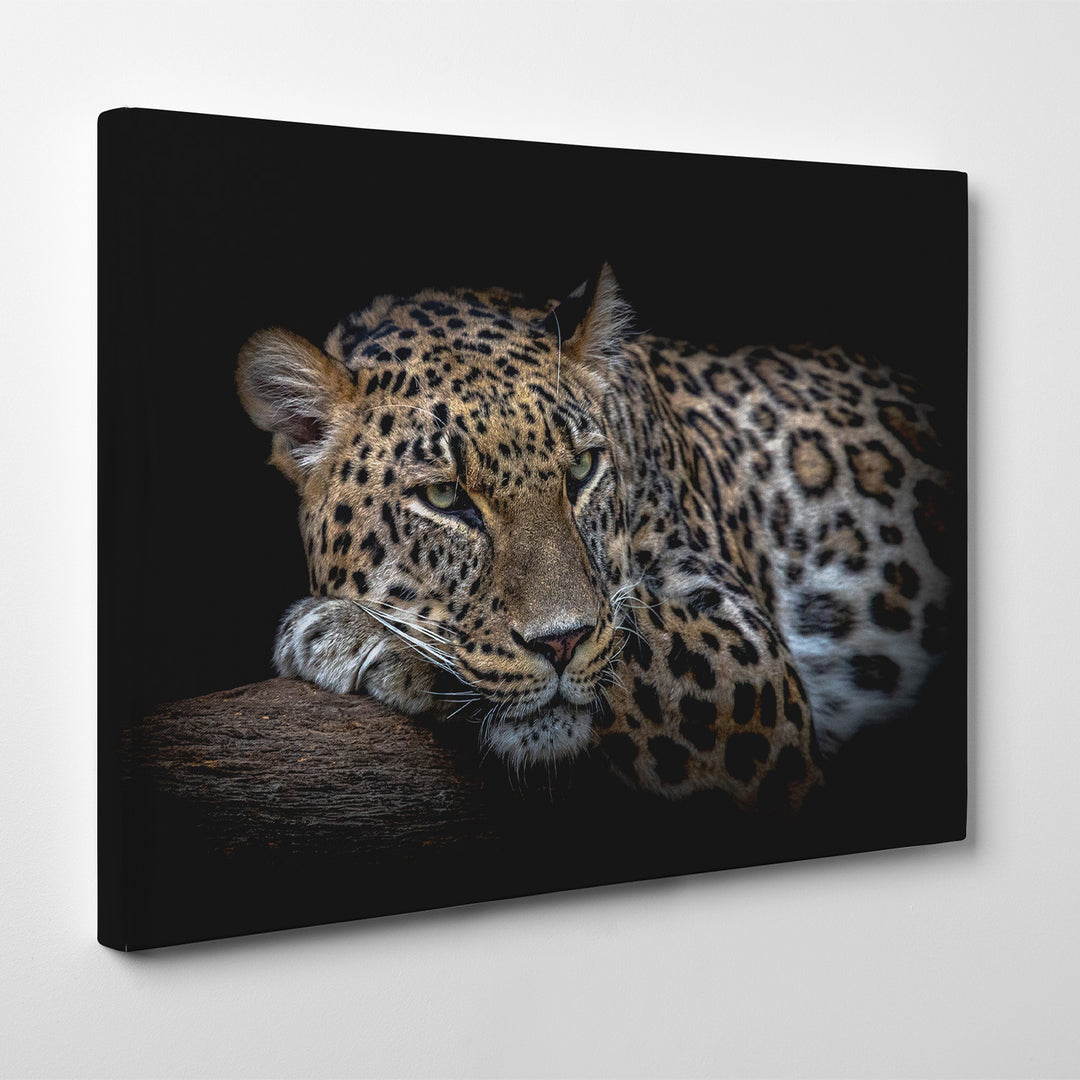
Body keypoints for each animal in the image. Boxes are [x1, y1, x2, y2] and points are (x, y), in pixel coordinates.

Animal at [237, 265, 953, 814]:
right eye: (444, 498)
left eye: (581, 469)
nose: (561, 643)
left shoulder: (751, 662)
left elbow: (632, 637)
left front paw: (352, 632)